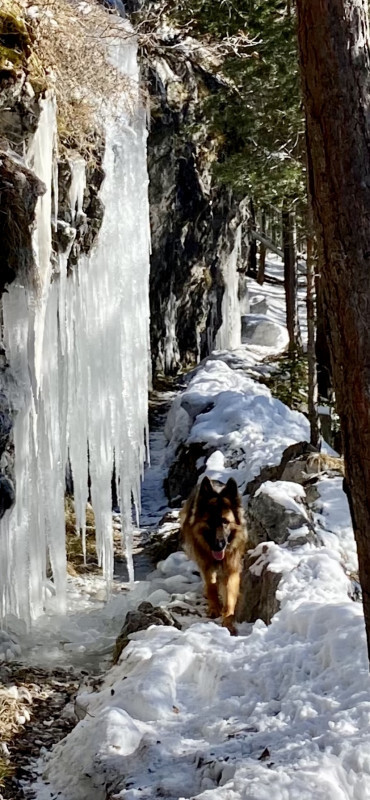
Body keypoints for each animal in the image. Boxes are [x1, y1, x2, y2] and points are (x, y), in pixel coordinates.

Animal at [181, 476, 247, 636]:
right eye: (210, 522)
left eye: (225, 522)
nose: (219, 545)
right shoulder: (205, 564)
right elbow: (211, 586)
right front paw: (214, 607)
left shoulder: (232, 567)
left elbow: (230, 597)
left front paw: (228, 621)